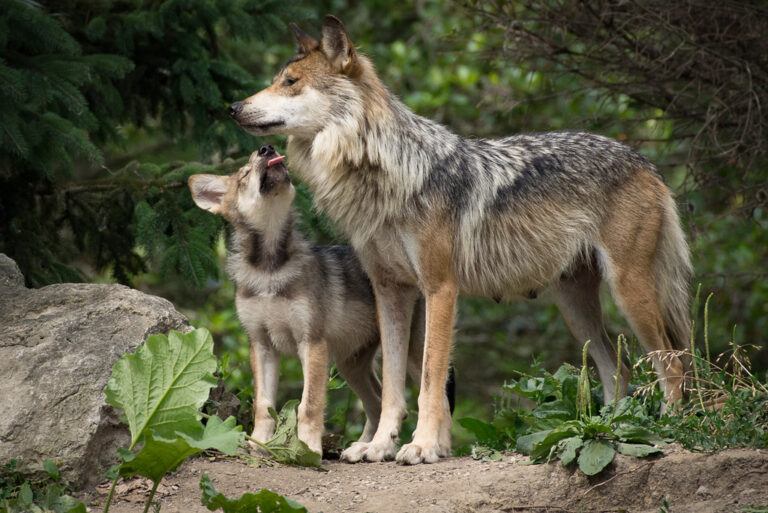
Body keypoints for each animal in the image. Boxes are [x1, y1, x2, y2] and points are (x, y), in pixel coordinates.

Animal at [188, 145, 431, 455]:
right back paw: (362, 447)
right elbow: (263, 406)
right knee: (378, 402)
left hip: (411, 356)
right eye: (244, 173)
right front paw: (259, 444)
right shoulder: (262, 346)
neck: (270, 271)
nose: (266, 148)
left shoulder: (312, 344)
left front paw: (309, 449)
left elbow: (309, 405)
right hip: (351, 366)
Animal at [228, 16, 692, 465]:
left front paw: (422, 447)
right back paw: (612, 427)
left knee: (671, 364)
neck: (385, 175)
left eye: (290, 81)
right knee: (620, 369)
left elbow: (430, 378)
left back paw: (669, 428)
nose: (232, 107)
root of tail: (643, 161)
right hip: (575, 309)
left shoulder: (440, 289)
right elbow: (393, 384)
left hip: (628, 293)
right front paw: (379, 446)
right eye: (277, 79)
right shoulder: (390, 292)